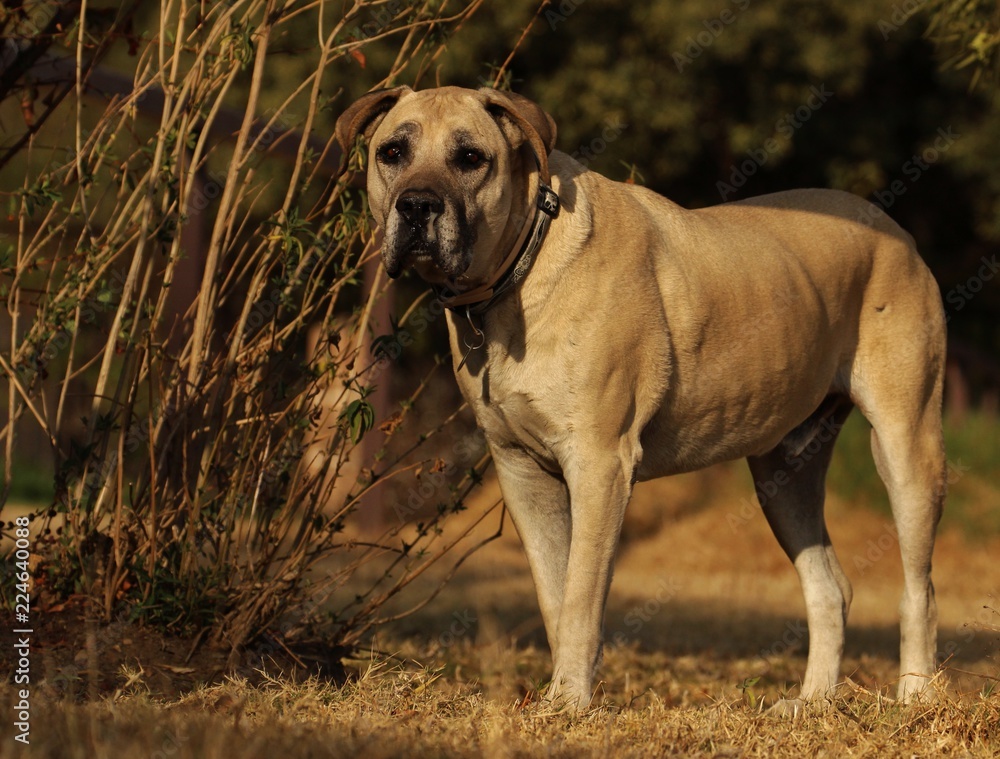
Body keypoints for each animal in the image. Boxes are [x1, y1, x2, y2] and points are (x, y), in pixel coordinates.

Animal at [334, 86, 944, 716]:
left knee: (918, 588)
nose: (417, 206)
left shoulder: (600, 464)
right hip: (784, 475)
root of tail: (898, 231)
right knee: (829, 586)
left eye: (471, 157)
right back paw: (812, 702)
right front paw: (563, 695)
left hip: (906, 447)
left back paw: (916, 696)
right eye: (393, 151)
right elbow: (555, 595)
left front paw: (569, 704)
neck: (519, 271)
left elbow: (581, 597)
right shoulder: (521, 471)